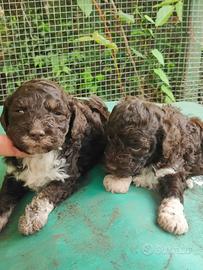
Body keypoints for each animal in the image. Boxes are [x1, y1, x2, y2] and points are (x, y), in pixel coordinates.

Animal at [0, 79, 109, 235]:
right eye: (20, 111)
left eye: (57, 113)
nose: (37, 133)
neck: (40, 155)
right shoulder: (13, 175)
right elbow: (4, 197)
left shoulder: (67, 176)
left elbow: (45, 194)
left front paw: (31, 219)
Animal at [104, 96, 202, 234]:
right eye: (110, 137)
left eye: (136, 146)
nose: (110, 166)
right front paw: (117, 180)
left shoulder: (172, 168)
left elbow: (174, 192)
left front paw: (173, 218)